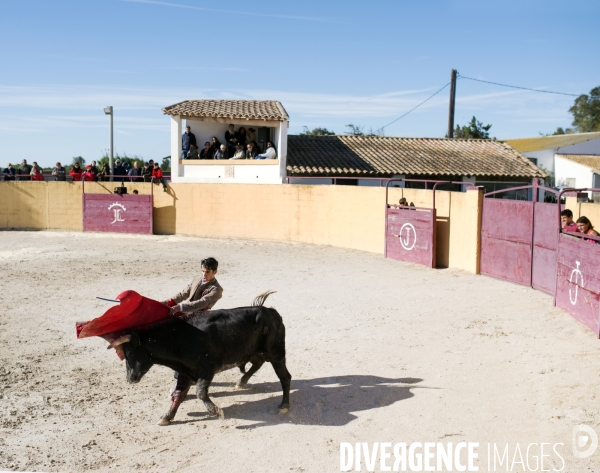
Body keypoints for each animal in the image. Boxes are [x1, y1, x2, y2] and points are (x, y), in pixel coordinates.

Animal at [111, 294, 294, 426]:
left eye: (130, 351)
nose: (130, 378)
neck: (179, 337)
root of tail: (272, 312)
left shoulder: (207, 368)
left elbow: (200, 391)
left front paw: (217, 412)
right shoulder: (185, 372)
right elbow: (179, 395)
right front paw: (166, 417)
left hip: (276, 353)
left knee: (285, 377)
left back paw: (283, 406)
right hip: (253, 352)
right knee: (257, 364)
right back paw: (241, 382)